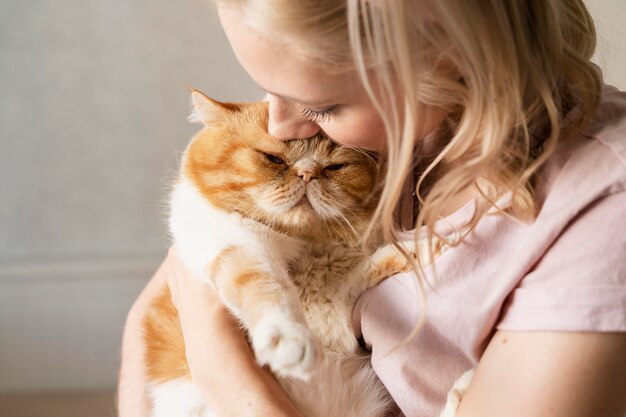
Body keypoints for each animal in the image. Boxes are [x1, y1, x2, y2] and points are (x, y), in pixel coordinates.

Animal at [143, 91, 468, 416]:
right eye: (272, 157)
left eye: (335, 167)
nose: (307, 173)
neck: (307, 242)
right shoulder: (236, 244)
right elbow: (268, 286)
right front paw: (289, 339)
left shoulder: (337, 306)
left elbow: (358, 277)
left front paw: (424, 247)